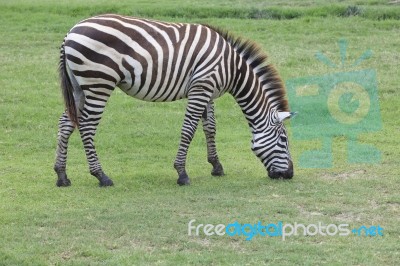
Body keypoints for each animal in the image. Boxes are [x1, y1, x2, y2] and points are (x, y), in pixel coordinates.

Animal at [54, 13, 296, 186]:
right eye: (284, 139)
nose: (290, 174)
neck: (233, 68)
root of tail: (70, 33)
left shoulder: (207, 91)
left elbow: (210, 128)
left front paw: (216, 166)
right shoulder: (201, 88)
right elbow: (188, 129)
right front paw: (182, 173)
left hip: (79, 87)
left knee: (66, 123)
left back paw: (62, 175)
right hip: (98, 83)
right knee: (87, 126)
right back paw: (101, 176)